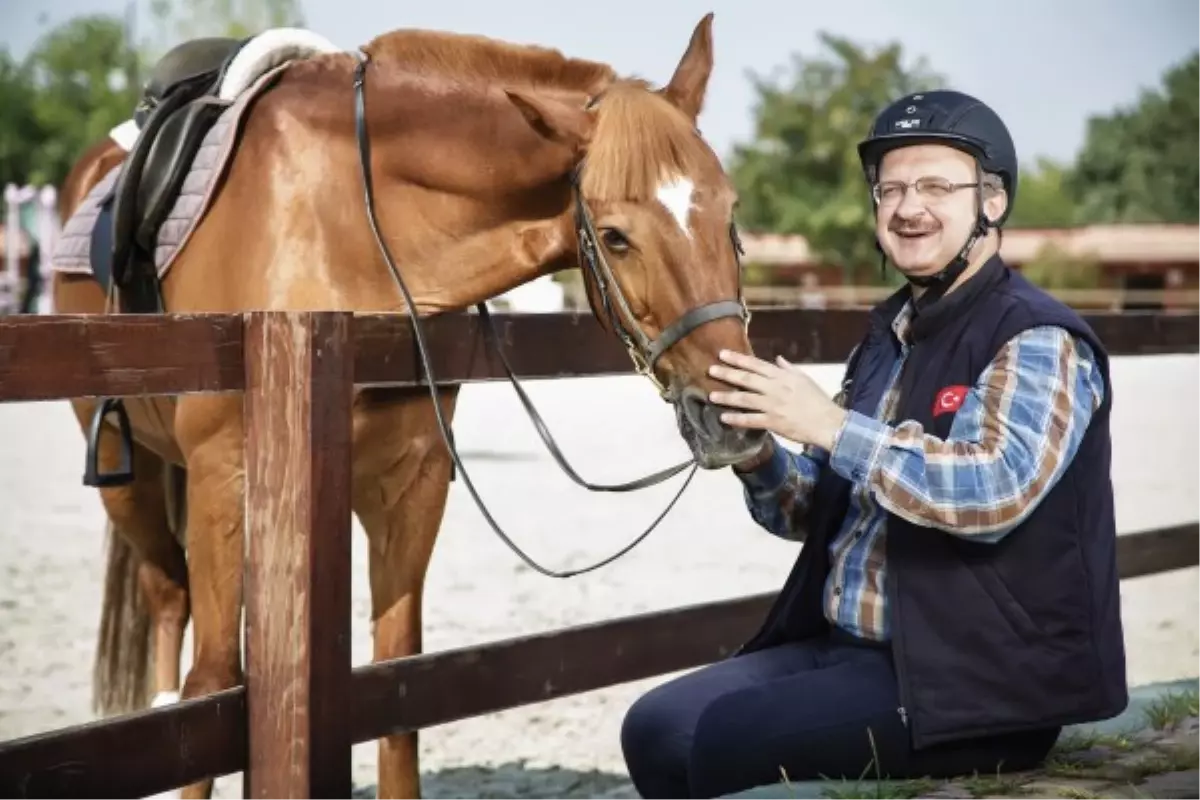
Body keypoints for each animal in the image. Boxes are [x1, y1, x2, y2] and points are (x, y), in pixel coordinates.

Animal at [54, 12, 758, 800]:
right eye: (614, 236)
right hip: (130, 476)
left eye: (731, 214)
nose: (732, 418)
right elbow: (211, 689)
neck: (344, 229)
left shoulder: (410, 485)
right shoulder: (223, 478)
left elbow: (396, 694)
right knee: (170, 607)